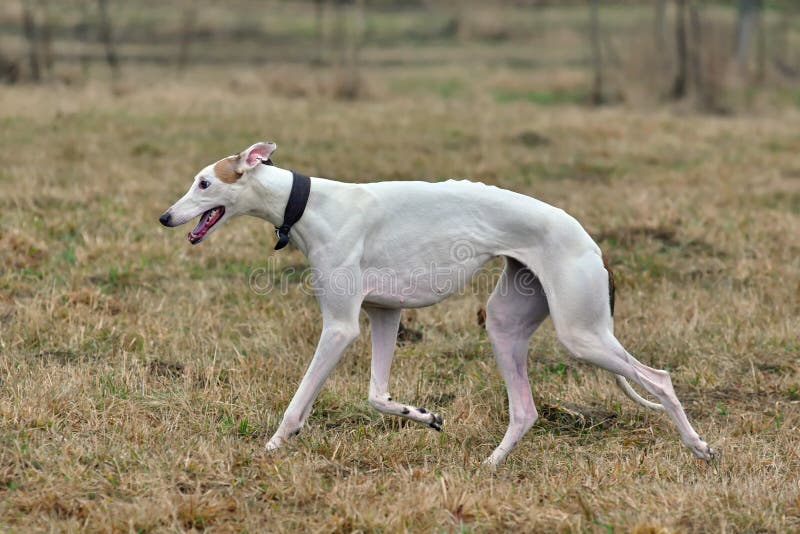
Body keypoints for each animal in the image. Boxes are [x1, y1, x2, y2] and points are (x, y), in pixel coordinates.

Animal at [159, 143, 716, 468]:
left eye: (205, 183)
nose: (165, 217)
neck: (309, 202)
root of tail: (590, 241)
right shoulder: (384, 314)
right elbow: (377, 396)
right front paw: (423, 415)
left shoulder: (340, 326)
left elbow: (300, 403)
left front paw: (272, 447)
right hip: (506, 324)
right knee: (525, 409)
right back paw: (490, 465)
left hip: (582, 334)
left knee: (659, 379)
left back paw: (700, 446)